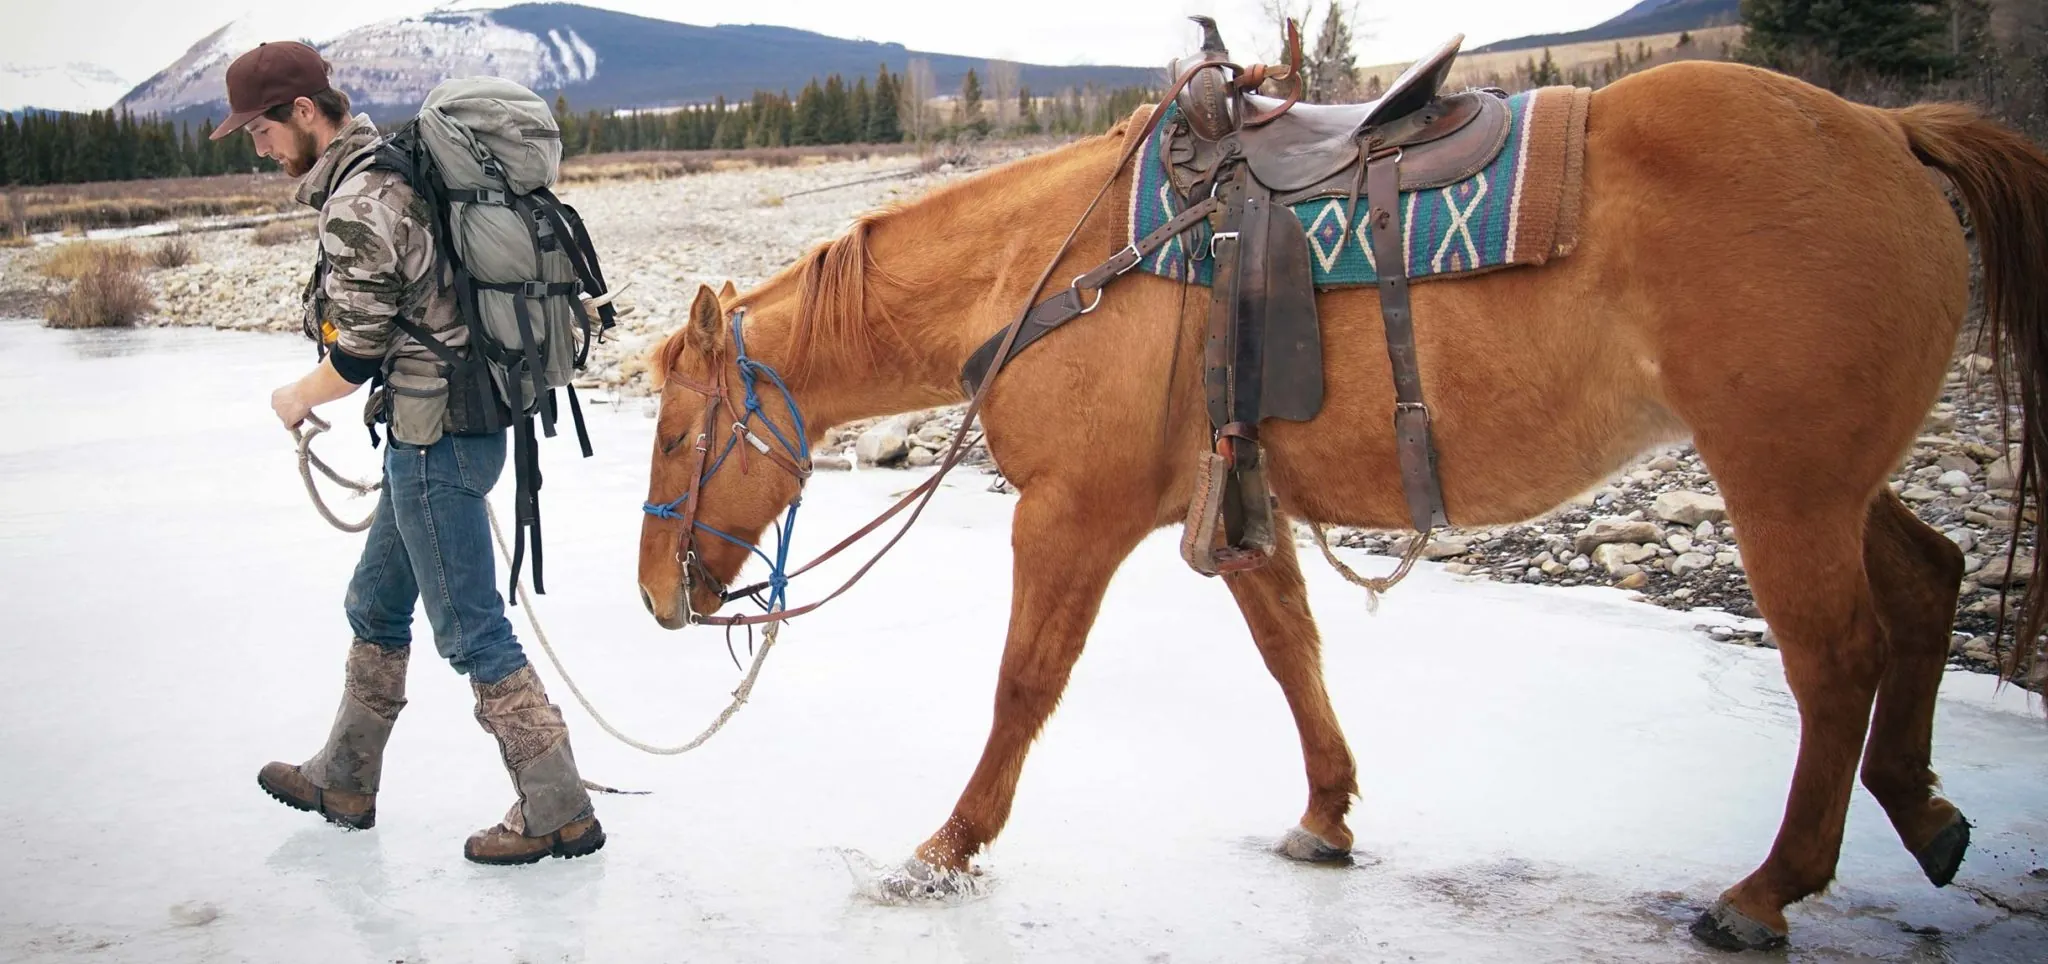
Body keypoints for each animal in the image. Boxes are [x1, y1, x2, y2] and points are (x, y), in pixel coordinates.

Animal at [635, 58, 2048, 950]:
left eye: (676, 431)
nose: (655, 596)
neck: (1059, 270)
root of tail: (1889, 133)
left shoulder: (1072, 515)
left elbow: (1022, 684)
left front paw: (944, 845)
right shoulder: (1231, 502)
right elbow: (1291, 655)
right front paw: (1324, 816)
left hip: (1779, 479)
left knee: (1835, 657)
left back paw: (1764, 890)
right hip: (1825, 475)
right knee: (1925, 581)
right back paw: (1921, 810)